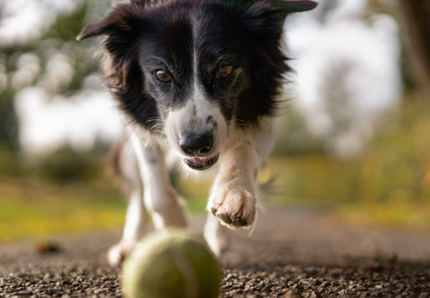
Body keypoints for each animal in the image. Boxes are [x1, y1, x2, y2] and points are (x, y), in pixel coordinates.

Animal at [78, 0, 316, 266]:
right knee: (138, 194)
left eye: (224, 70)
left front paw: (233, 195)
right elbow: (155, 191)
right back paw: (128, 246)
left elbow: (243, 150)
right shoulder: (139, 122)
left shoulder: (263, 110)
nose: (195, 144)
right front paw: (176, 225)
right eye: (162, 74)